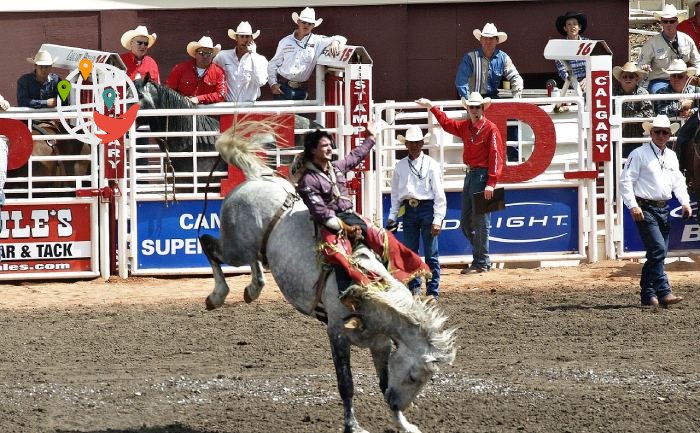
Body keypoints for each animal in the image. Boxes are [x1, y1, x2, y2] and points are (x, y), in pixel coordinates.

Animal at [200, 118, 456, 432]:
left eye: (424, 380)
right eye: (413, 376)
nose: (397, 403)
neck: (368, 291)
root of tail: (257, 177)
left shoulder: (381, 343)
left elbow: (383, 381)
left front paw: (404, 424)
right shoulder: (336, 333)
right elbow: (346, 384)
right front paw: (353, 425)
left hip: (252, 247)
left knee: (253, 260)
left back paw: (253, 288)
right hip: (234, 246)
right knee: (208, 244)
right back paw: (217, 295)